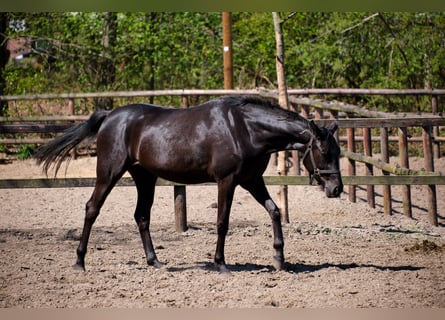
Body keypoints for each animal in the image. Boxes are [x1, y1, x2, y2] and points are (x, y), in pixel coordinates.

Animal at [34, 95, 342, 272]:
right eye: (324, 152)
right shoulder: (227, 181)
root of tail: (110, 116)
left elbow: (275, 211)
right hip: (109, 173)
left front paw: (279, 258)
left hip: (145, 177)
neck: (244, 129)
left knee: (141, 216)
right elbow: (222, 222)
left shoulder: (251, 180)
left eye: (338, 152)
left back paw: (155, 262)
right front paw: (220, 264)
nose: (336, 189)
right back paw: (79, 262)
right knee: (92, 209)